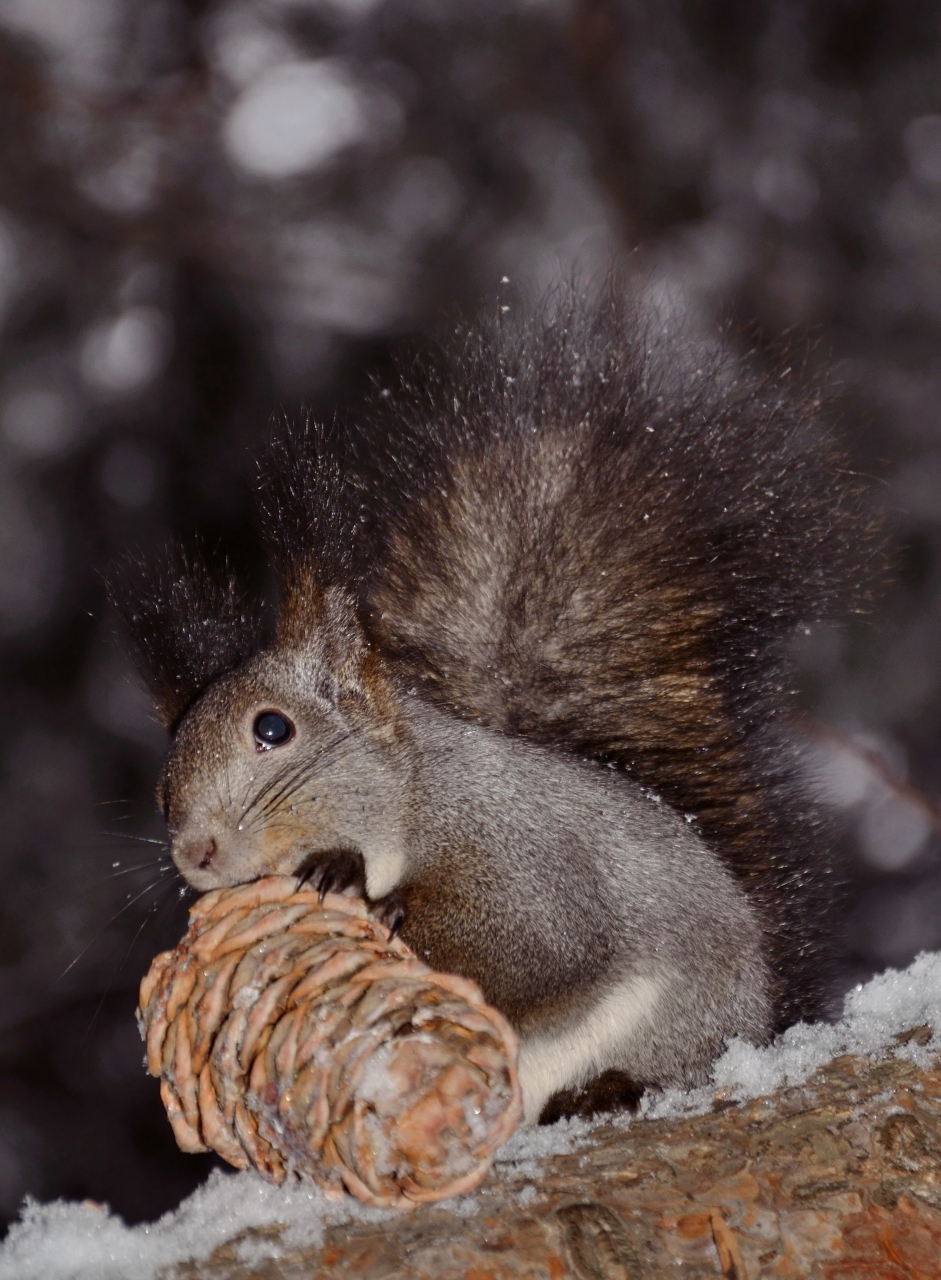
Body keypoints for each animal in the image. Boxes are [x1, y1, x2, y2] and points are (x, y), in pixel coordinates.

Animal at [110, 288, 870, 1121]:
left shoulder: (518, 852)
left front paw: (351, 885)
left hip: (684, 1024)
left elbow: (540, 946)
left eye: (271, 729)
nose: (195, 854)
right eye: (160, 787)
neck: (409, 802)